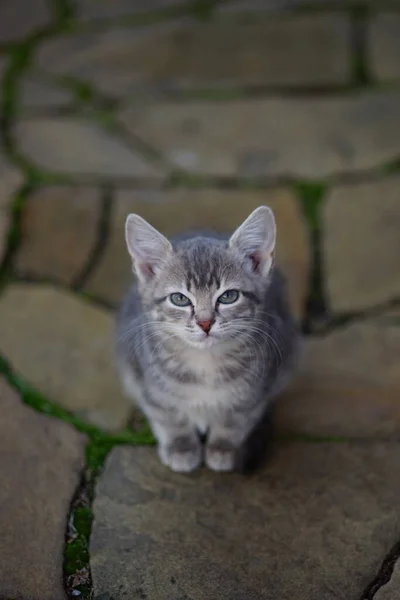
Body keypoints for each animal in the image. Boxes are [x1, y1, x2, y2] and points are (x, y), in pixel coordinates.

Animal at [114, 206, 298, 474]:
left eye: (229, 296)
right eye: (179, 299)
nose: (205, 323)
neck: (204, 363)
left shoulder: (258, 390)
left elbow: (235, 420)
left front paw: (222, 448)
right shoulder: (145, 382)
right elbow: (168, 416)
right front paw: (181, 447)